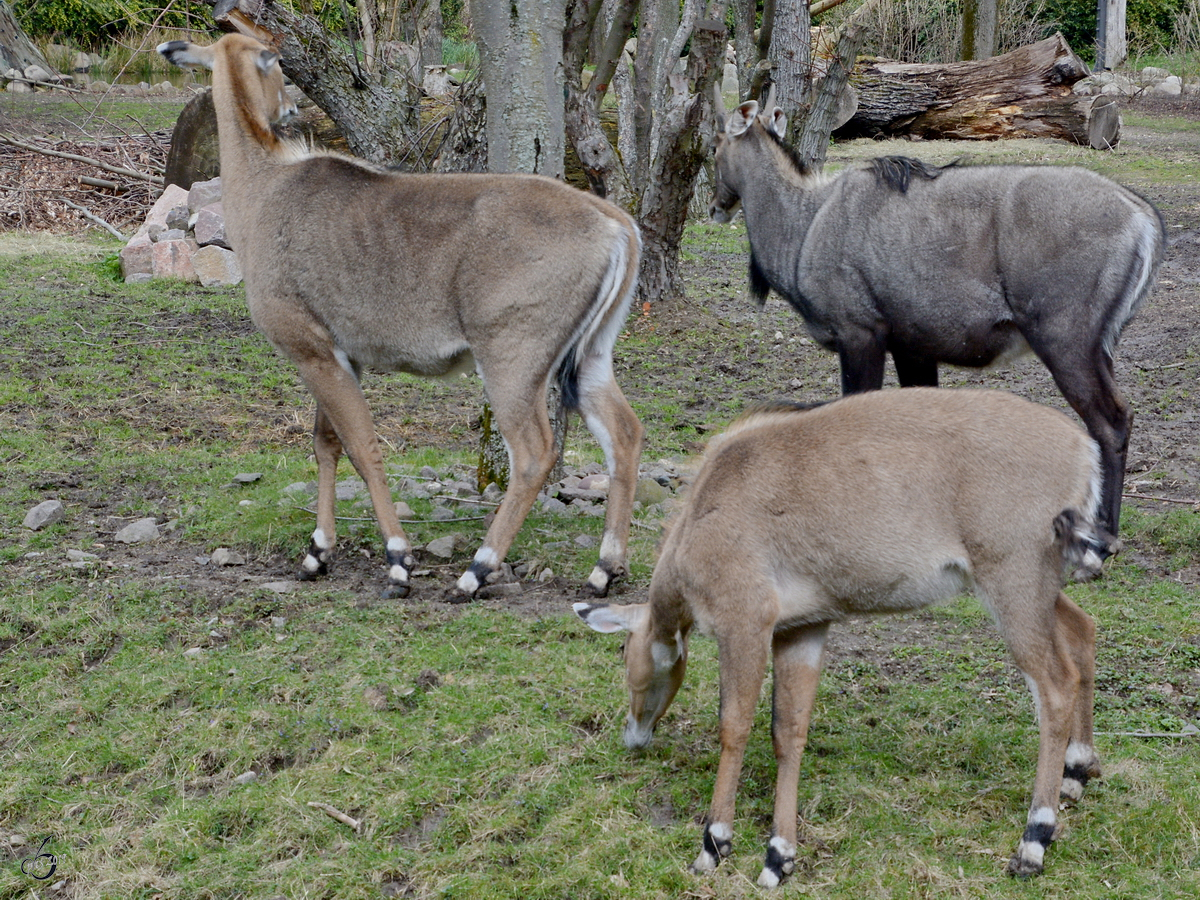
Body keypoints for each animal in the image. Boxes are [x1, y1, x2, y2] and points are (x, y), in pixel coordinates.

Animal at [162, 33, 648, 600]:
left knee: (532, 454)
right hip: (591, 355)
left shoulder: (310, 348)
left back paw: (477, 570)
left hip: (512, 356)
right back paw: (603, 569)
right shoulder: (338, 354)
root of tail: (617, 226)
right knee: (624, 433)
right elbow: (327, 444)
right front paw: (317, 553)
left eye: (276, 60)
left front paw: (398, 560)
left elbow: (363, 446)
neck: (265, 189)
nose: (290, 108)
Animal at [576, 388, 1108, 888]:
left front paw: (714, 843)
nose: (633, 735)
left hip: (1013, 586)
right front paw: (779, 857)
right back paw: (1076, 772)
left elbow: (735, 727)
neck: (707, 507)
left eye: (626, 653)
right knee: (1083, 630)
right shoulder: (802, 629)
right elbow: (788, 733)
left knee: (1055, 686)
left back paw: (1034, 840)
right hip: (1035, 590)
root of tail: (1083, 449)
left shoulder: (743, 623)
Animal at [710, 86, 1161, 549]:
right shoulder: (912, 346)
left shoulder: (860, 333)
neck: (803, 227)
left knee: (1111, 422)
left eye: (713, 146)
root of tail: (1143, 219)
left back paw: (1104, 534)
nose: (714, 205)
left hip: (1065, 340)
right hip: (1098, 346)